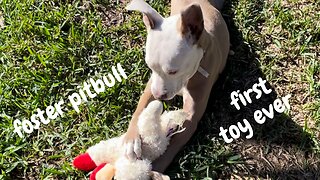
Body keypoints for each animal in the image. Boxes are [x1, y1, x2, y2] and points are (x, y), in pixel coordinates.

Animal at [124, 0, 229, 172]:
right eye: (150, 67)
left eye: (173, 71)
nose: (159, 96)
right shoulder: (151, 85)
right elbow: (140, 109)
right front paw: (131, 140)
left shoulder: (191, 115)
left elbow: (173, 143)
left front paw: (155, 169)